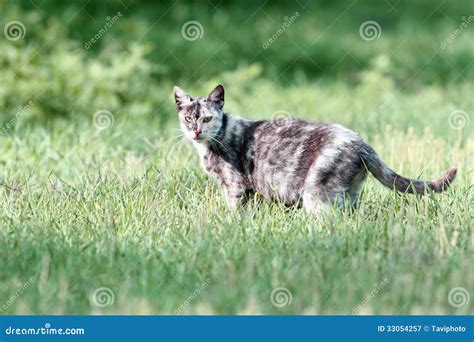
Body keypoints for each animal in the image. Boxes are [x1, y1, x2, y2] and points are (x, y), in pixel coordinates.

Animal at [173, 84, 456, 212]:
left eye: (207, 118)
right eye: (188, 118)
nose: (195, 130)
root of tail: (362, 143)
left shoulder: (234, 186)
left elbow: (234, 212)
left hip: (317, 193)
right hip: (349, 193)